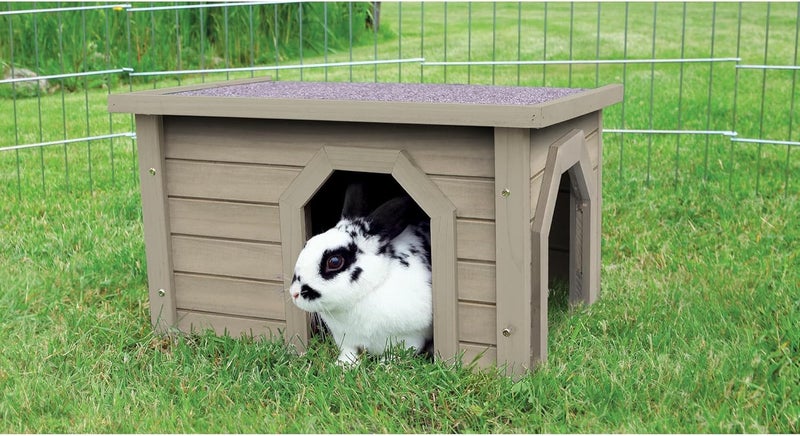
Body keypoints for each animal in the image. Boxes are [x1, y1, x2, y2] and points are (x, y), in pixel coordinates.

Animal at [289, 183, 433, 365]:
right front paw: (343, 365)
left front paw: (385, 366)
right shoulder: (345, 338)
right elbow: (349, 352)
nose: (294, 293)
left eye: (334, 261)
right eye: (308, 243)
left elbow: (397, 354)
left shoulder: (410, 337)